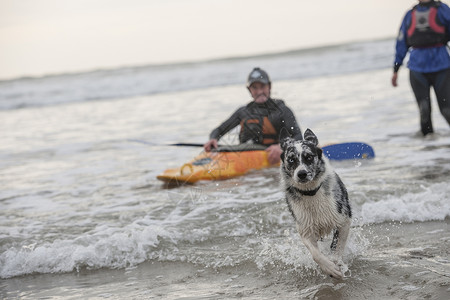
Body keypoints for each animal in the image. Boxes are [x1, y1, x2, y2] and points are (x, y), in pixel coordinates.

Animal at [280, 129, 354, 278]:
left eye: (309, 157)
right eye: (291, 159)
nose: (302, 174)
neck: (311, 193)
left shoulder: (343, 219)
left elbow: (337, 246)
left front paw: (336, 262)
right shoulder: (305, 228)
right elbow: (316, 254)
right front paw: (329, 268)